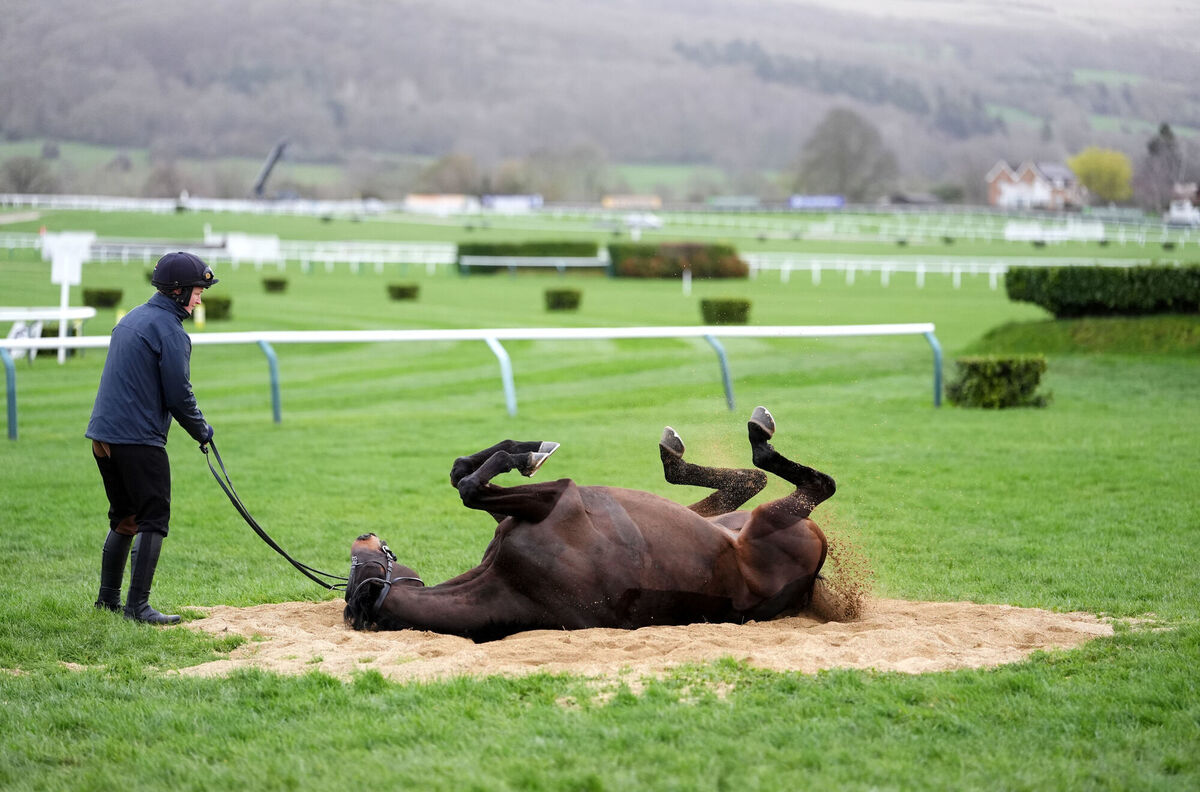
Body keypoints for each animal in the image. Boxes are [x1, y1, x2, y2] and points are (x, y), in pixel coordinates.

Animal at [344, 407, 835, 642]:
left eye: (352, 566)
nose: (364, 535)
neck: (508, 582)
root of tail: (813, 573)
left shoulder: (523, 512)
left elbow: (462, 474)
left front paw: (530, 448)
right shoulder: (560, 497)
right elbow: (470, 485)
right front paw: (529, 456)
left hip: (729, 520)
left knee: (750, 481)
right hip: (766, 521)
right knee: (801, 482)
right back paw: (752, 436)